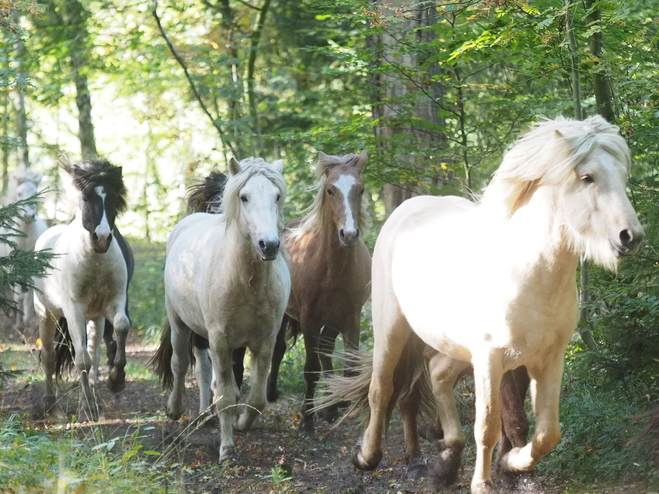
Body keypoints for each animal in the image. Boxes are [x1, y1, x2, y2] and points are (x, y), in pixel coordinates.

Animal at [0, 168, 47, 330]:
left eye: (35, 192)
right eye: (19, 193)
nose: (28, 215)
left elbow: (29, 293)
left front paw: (28, 321)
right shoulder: (14, 267)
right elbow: (18, 296)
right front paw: (19, 325)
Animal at [33, 159, 131, 420]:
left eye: (113, 198)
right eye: (86, 198)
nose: (102, 238)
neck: (94, 262)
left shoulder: (114, 302)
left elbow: (121, 327)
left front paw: (116, 381)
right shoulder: (74, 309)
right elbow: (81, 361)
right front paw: (88, 409)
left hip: (95, 318)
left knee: (94, 353)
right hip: (46, 313)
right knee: (49, 356)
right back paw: (50, 404)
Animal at [155, 156, 292, 462]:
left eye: (277, 196)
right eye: (244, 197)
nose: (269, 245)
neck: (246, 282)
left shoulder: (265, 341)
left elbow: (257, 397)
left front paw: (242, 423)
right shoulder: (219, 341)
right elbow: (226, 396)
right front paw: (227, 449)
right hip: (180, 323)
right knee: (181, 364)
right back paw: (176, 409)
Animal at [266, 151, 372, 436]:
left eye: (361, 189)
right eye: (330, 190)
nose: (349, 234)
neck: (333, 268)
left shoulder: (350, 317)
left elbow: (349, 366)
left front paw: (341, 405)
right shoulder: (309, 319)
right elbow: (310, 368)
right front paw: (307, 421)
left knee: (325, 349)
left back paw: (331, 406)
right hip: (285, 315)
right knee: (279, 349)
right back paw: (271, 393)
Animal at [356, 116, 644, 494]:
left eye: (623, 176)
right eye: (587, 177)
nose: (631, 237)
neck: (528, 273)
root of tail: (405, 210)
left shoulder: (548, 360)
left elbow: (547, 433)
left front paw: (512, 462)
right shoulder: (491, 359)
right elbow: (489, 424)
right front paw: (484, 482)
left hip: (455, 346)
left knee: (438, 374)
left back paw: (446, 461)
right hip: (393, 330)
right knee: (381, 388)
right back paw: (367, 457)